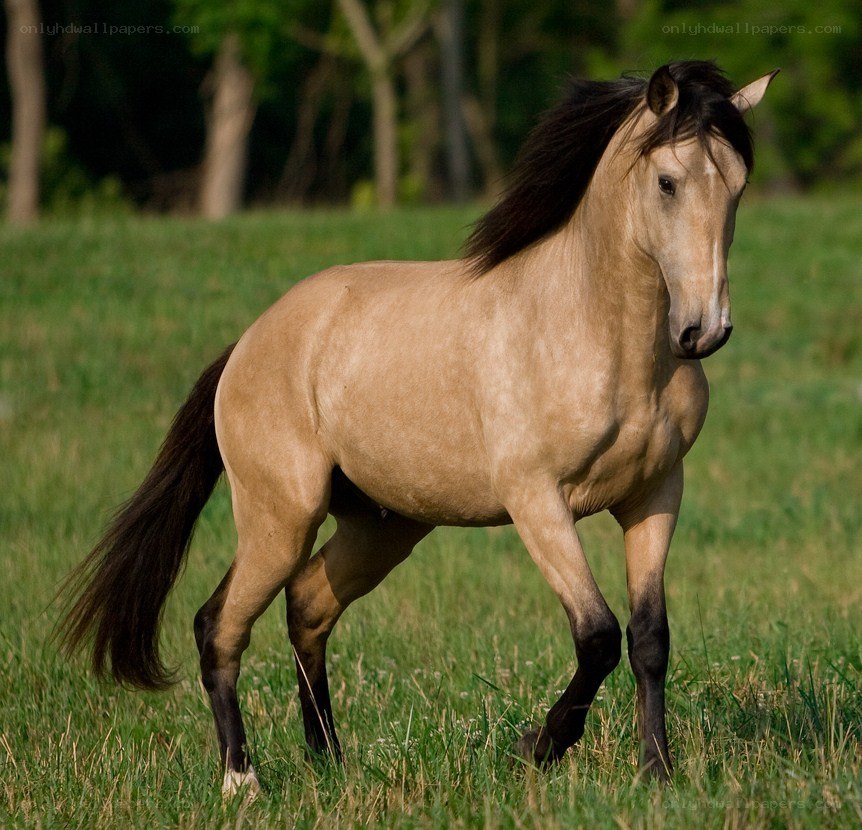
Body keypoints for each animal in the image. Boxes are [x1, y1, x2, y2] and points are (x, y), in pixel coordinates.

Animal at [60, 61, 777, 795]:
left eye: (739, 186)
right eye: (667, 182)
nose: (703, 331)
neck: (598, 335)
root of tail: (246, 347)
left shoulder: (654, 495)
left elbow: (649, 639)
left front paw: (657, 772)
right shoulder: (537, 501)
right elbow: (598, 635)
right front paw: (535, 748)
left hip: (382, 526)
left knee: (307, 607)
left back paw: (331, 763)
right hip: (279, 518)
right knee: (219, 626)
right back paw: (242, 780)